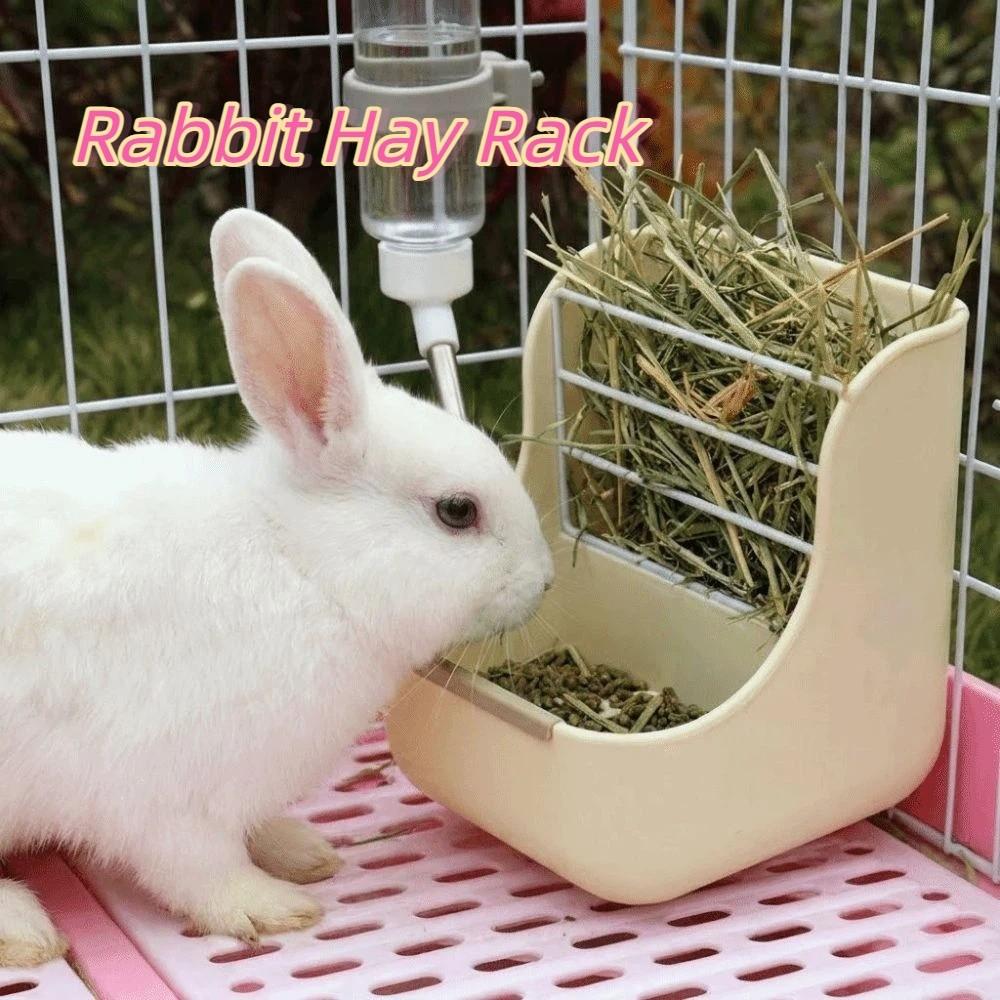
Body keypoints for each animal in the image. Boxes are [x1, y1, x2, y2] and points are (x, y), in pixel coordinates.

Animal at [0, 208, 554, 967]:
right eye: (456, 511)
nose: (544, 579)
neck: (304, 566)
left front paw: (298, 851)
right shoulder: (162, 797)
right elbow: (196, 868)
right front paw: (270, 907)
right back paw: (23, 930)